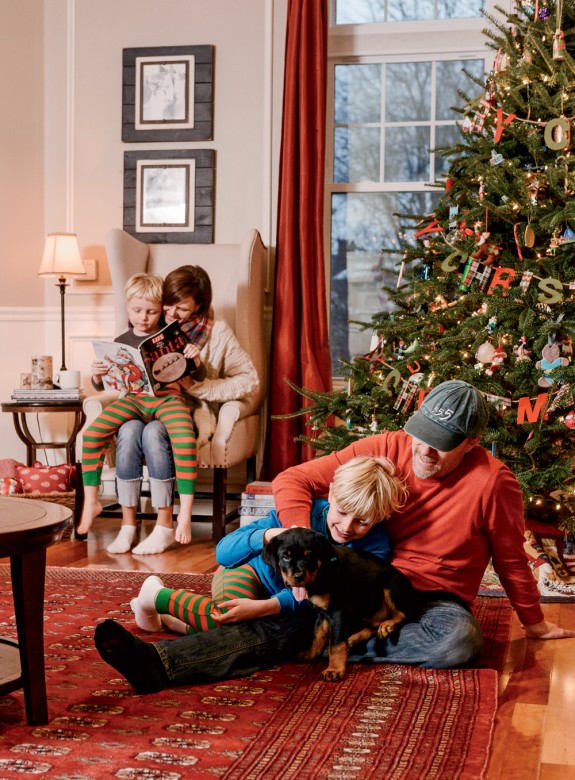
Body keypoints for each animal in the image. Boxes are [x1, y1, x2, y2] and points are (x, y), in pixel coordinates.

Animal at [260, 528, 418, 680]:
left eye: (310, 556)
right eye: (285, 557)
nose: (299, 577)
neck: (322, 573)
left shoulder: (338, 610)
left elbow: (335, 644)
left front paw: (334, 670)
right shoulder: (322, 612)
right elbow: (318, 636)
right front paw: (309, 655)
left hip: (391, 586)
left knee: (406, 614)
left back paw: (387, 625)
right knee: (374, 624)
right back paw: (355, 637)